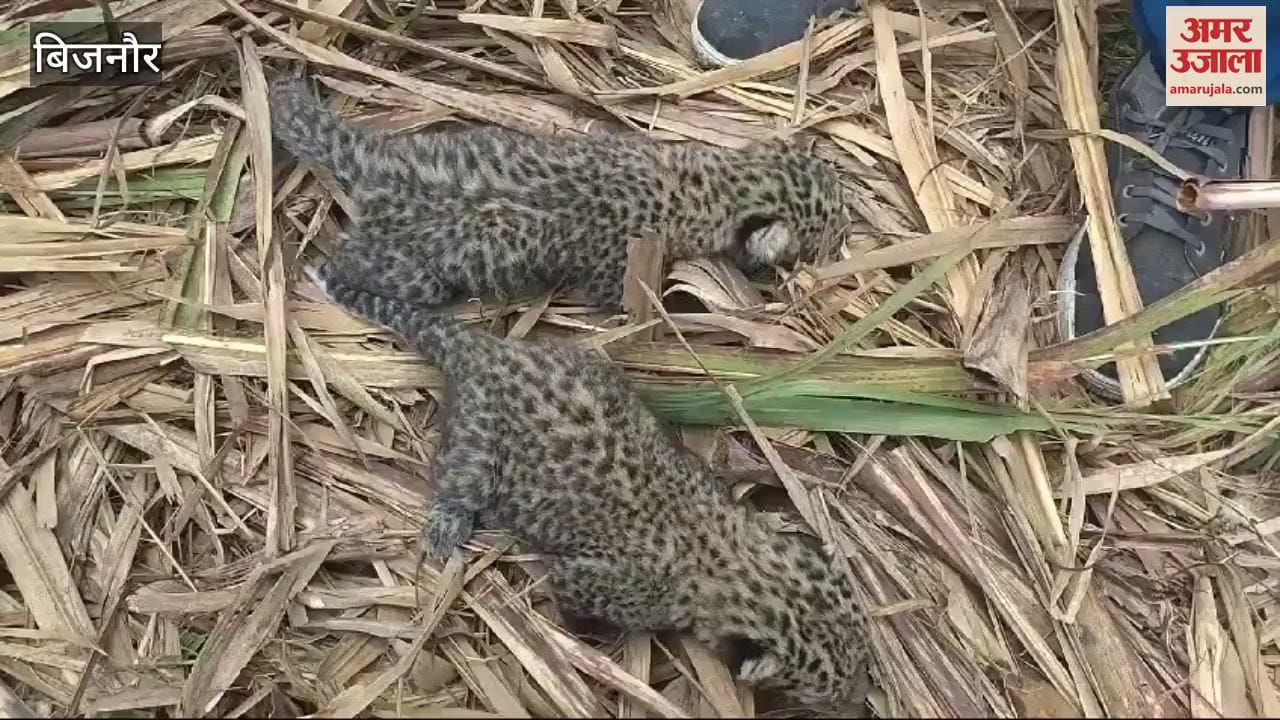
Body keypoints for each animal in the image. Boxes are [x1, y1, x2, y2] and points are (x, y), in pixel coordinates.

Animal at [271, 73, 848, 311]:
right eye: (831, 227)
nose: (849, 231)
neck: (713, 187)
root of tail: (376, 156)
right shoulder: (614, 268)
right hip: (413, 271)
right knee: (353, 258)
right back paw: (325, 273)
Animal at [307, 264, 870, 715]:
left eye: (862, 660)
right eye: (826, 696)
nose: (861, 698)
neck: (726, 556)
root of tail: (486, 349)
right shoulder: (592, 580)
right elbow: (572, 599)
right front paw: (592, 638)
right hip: (476, 446)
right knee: (458, 478)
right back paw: (447, 523)